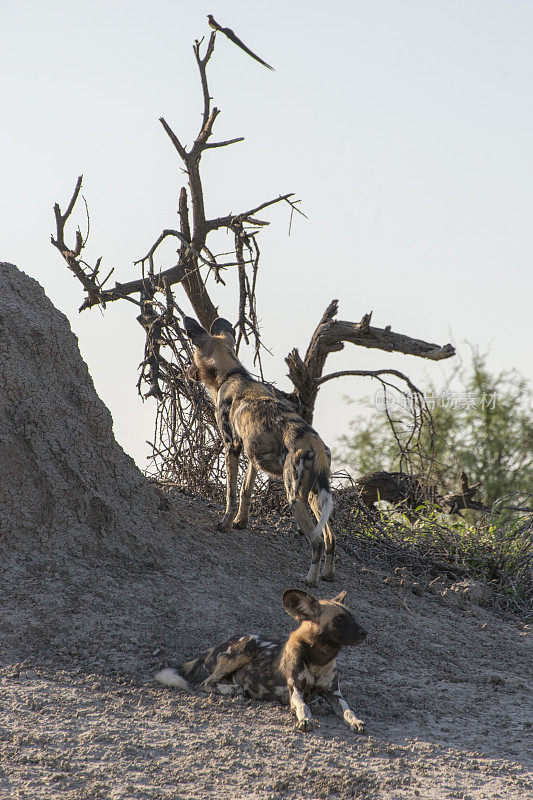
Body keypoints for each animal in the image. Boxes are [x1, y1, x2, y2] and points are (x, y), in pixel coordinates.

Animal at [156, 588, 368, 732]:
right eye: (339, 619)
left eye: (352, 616)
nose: (365, 632)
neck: (318, 658)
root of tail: (211, 649)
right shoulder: (295, 691)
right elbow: (303, 706)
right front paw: (304, 720)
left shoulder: (335, 695)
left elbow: (348, 710)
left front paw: (356, 721)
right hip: (247, 644)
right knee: (206, 683)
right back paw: (232, 690)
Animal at [183, 314, 332, 588]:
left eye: (193, 354)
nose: (188, 371)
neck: (232, 373)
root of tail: (313, 441)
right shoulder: (252, 454)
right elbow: (245, 492)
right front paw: (241, 523)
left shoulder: (231, 447)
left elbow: (231, 494)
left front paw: (225, 524)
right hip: (316, 496)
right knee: (330, 539)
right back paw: (328, 575)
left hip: (294, 497)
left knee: (316, 541)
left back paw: (310, 580)